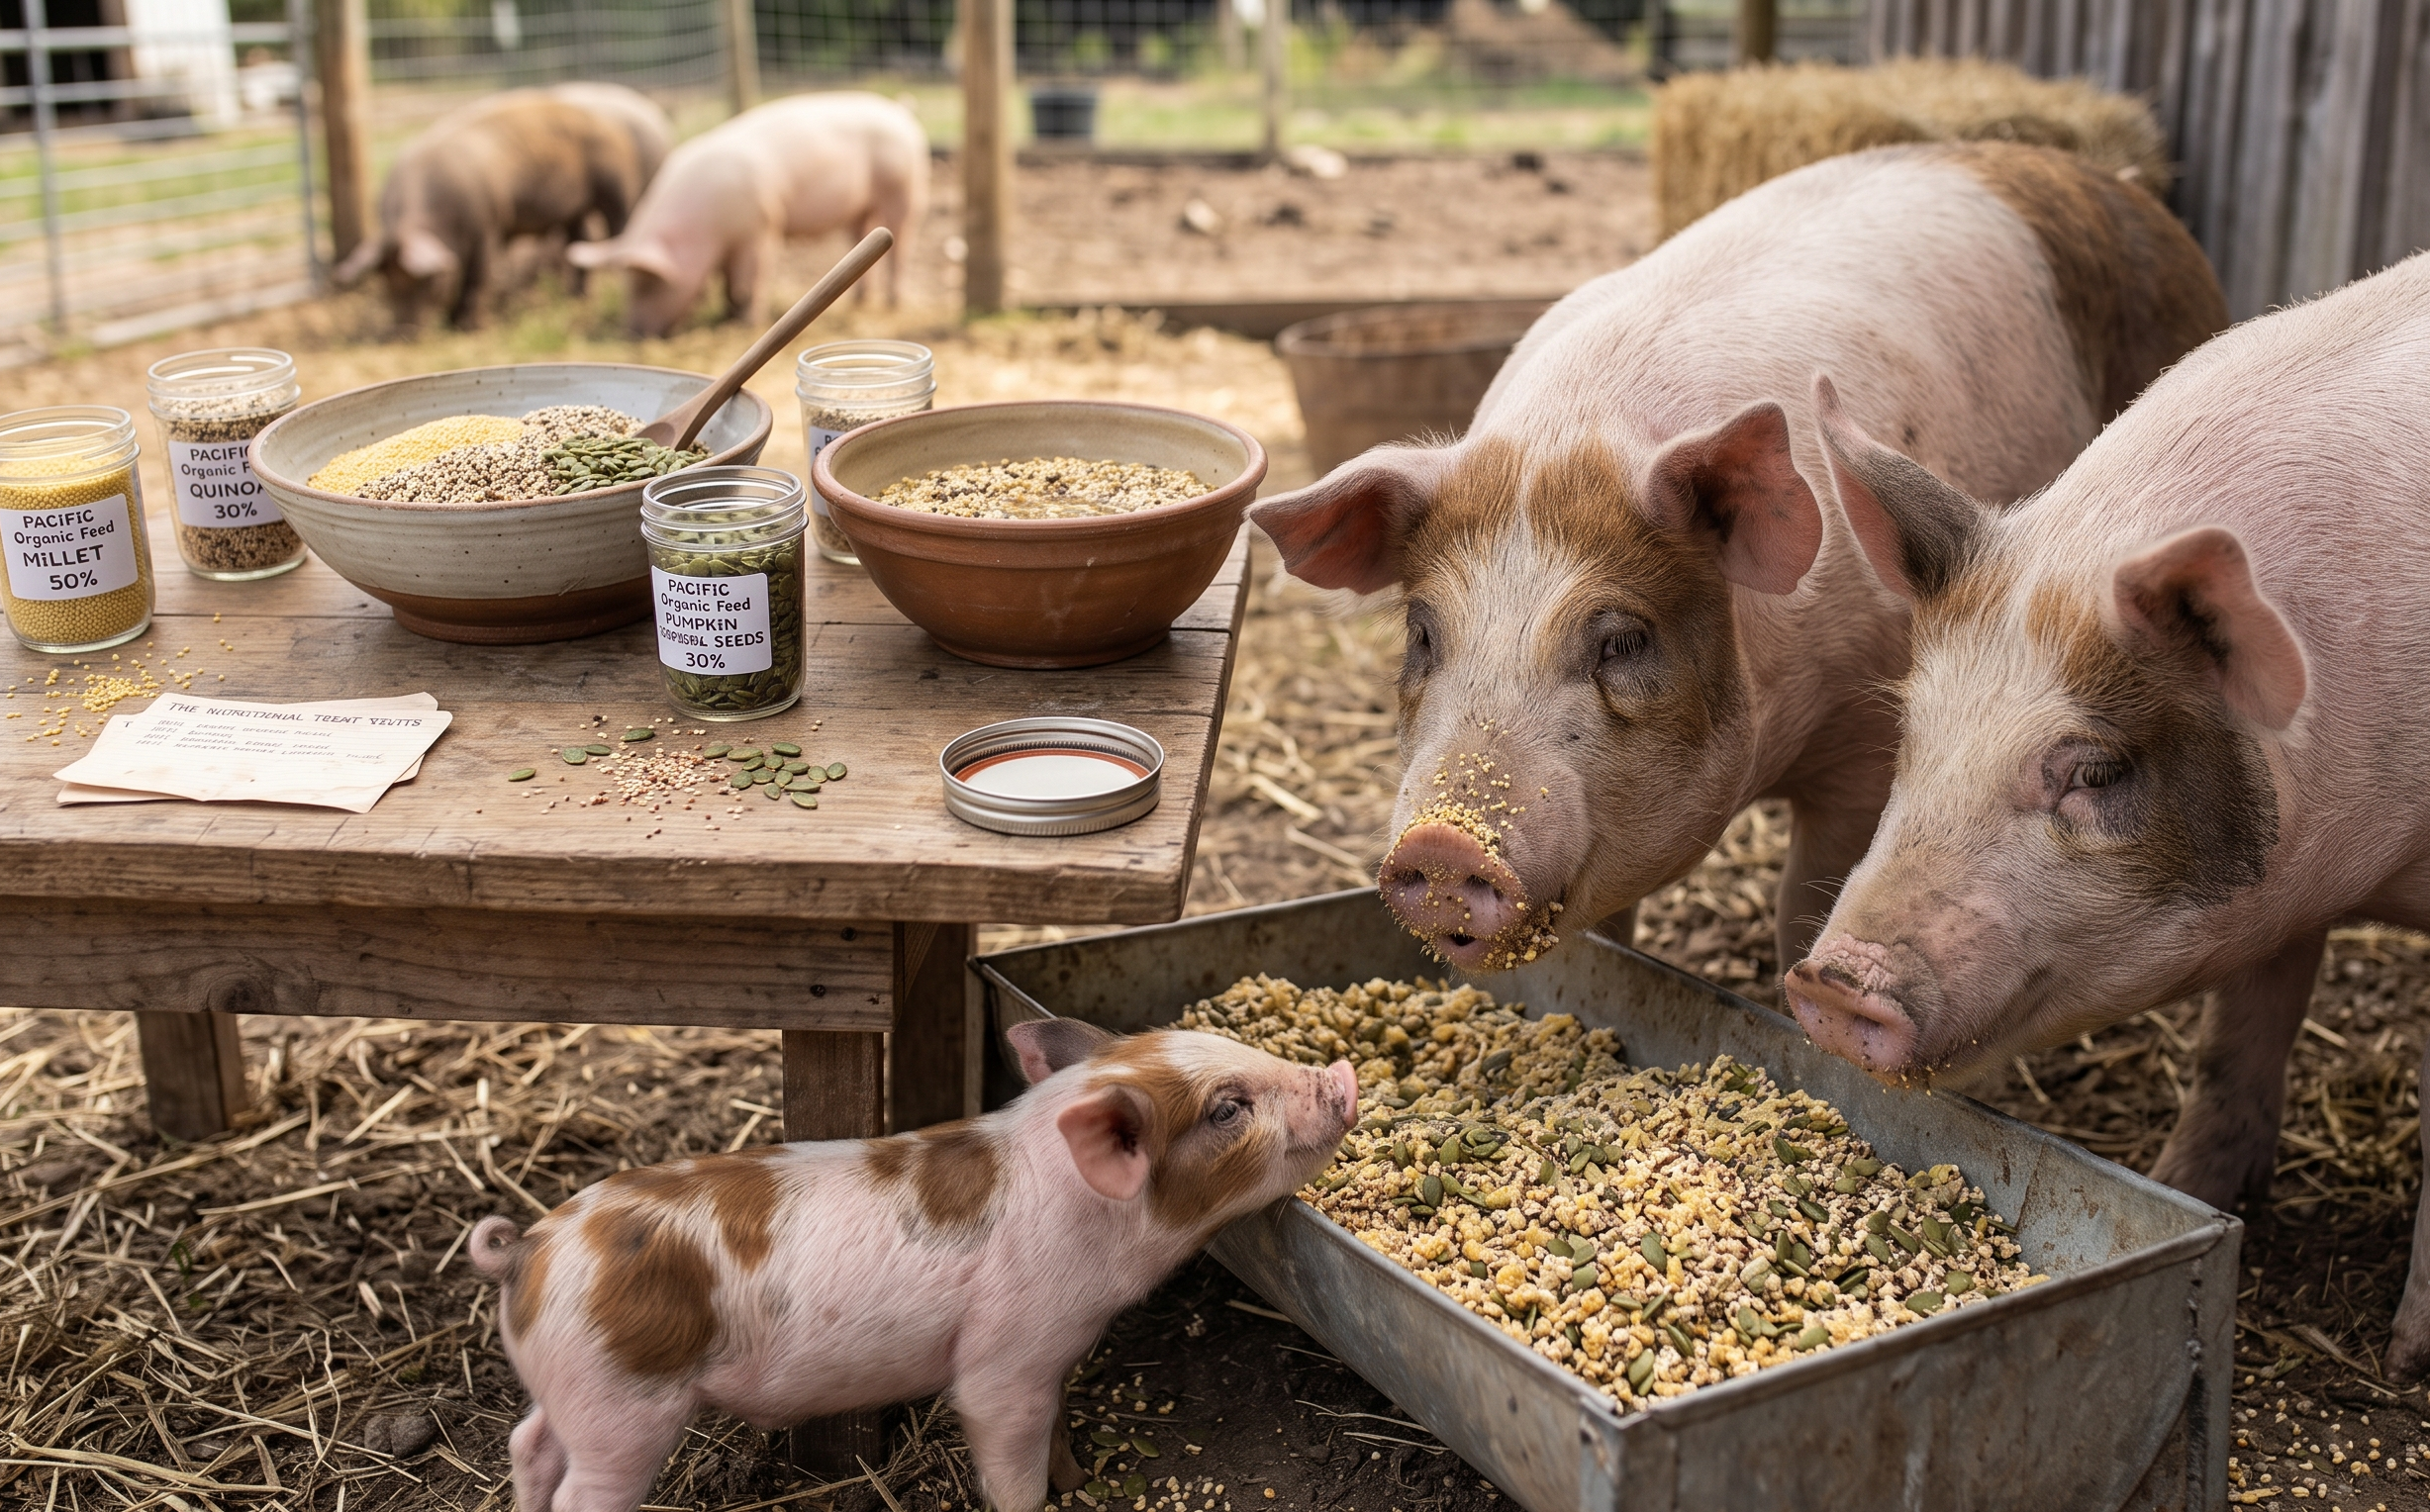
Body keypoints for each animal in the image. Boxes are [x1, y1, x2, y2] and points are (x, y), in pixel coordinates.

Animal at [333, 83, 672, 328]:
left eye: (426, 281)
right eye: (386, 282)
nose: (405, 330)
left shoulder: (487, 225)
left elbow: (476, 276)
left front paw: (469, 327)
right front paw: (453, 322)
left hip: (616, 184)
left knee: (620, 224)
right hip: (572, 209)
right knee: (579, 240)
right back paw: (576, 296)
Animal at [469, 1021, 1358, 1511]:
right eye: (1226, 1109)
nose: (1343, 1075)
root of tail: (529, 1253)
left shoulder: (1051, 1360)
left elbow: (1057, 1429)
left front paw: (1075, 1480)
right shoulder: (1003, 1361)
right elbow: (1006, 1454)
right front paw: (1039, 1497)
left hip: (578, 1394)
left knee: (528, 1445)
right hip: (623, 1406)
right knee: (577, 1488)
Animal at [565, 91, 928, 337]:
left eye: (649, 284)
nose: (633, 334)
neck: (704, 229)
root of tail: (899, 110)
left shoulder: (761, 226)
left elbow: (748, 280)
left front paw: (746, 323)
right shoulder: (728, 245)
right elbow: (728, 282)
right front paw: (727, 316)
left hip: (902, 186)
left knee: (903, 239)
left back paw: (894, 301)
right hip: (860, 208)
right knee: (860, 236)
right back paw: (857, 302)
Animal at [1248, 141, 2225, 976]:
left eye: (1621, 641)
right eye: (1421, 633)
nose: (1442, 847)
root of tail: (2111, 177)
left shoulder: (1867, 740)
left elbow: (1804, 907)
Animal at [1781, 252, 2430, 1366]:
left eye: (2091, 774)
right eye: (1912, 729)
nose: (1834, 983)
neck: (2370, 860)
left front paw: (2404, 1358)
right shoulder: (2286, 889)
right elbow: (2239, 1030)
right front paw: (2184, 1193)